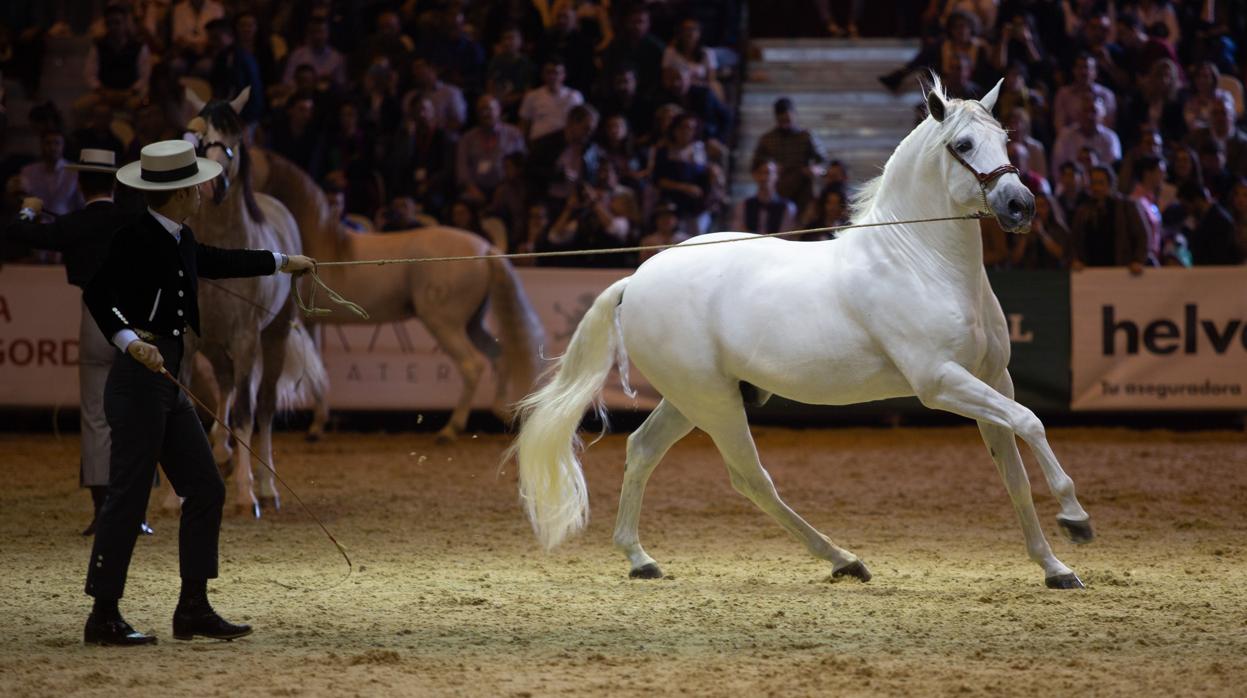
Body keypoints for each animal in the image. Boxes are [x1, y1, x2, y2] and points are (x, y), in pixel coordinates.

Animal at [187, 87, 329, 516]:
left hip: (272, 338)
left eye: (235, 139)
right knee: (225, 387)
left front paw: (246, 494)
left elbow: (247, 414)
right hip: (216, 345)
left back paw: (265, 487)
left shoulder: (246, 338)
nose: (212, 186)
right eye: (198, 138)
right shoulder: (191, 338)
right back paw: (221, 451)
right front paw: (171, 499)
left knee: (261, 406)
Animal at [245, 140, 543, 441]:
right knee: (499, 356)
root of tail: (486, 249)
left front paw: (317, 427)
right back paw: (503, 412)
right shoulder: (313, 322)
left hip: (443, 323)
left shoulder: (300, 320)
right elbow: (317, 369)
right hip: (472, 323)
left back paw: (450, 429)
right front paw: (318, 423)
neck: (320, 242)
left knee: (472, 365)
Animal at [511, 76, 1097, 588]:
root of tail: (635, 279)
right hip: (713, 401)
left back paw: (641, 560)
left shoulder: (993, 379)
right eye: (963, 144)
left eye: (1005, 138)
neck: (920, 261)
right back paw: (843, 560)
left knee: (641, 449)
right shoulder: (941, 382)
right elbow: (1032, 422)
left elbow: (1015, 473)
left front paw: (1056, 569)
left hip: (689, 399)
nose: (1021, 205)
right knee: (750, 478)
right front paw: (1076, 519)